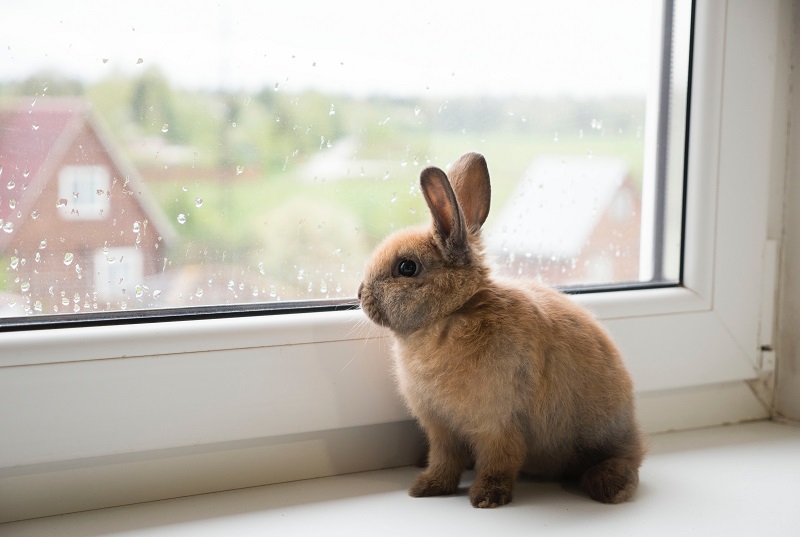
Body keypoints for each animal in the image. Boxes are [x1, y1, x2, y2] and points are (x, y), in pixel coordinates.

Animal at [358, 152, 645, 508]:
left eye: (407, 267)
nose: (360, 294)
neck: (452, 313)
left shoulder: (498, 424)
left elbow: (500, 461)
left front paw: (487, 498)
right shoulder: (441, 430)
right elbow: (444, 460)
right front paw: (427, 488)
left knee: (627, 459)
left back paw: (611, 487)